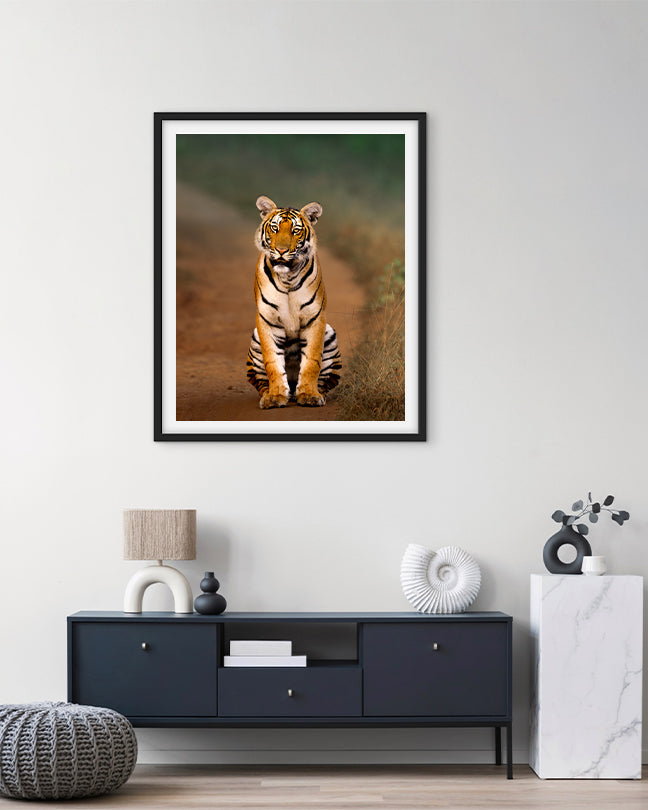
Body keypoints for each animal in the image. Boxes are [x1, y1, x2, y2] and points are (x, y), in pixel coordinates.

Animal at [246, 195, 341, 409]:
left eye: (295, 231)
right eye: (274, 228)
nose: (281, 251)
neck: (287, 277)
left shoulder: (315, 319)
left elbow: (312, 362)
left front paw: (309, 395)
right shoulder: (267, 320)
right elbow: (272, 362)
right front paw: (275, 397)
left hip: (330, 334)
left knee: (325, 382)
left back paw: (311, 394)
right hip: (255, 339)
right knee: (261, 382)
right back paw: (272, 394)